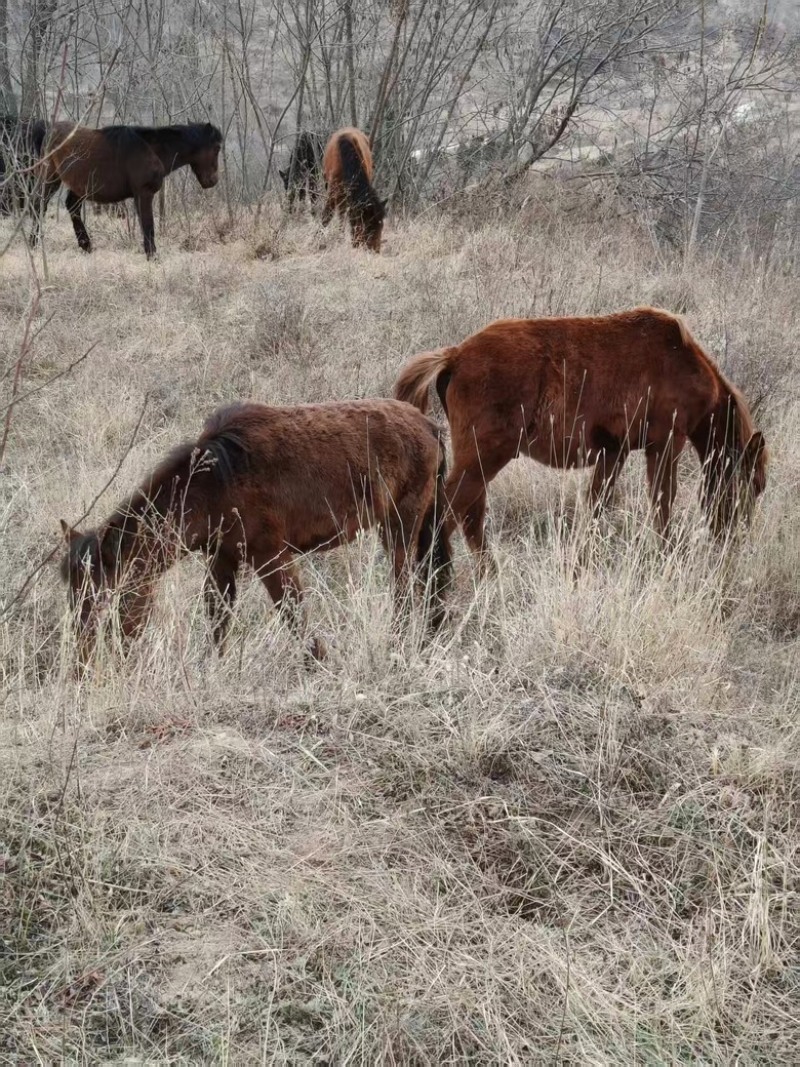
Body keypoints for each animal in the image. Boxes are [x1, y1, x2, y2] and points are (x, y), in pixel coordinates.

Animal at [30, 121, 223, 257]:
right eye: (217, 148)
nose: (212, 181)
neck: (151, 150)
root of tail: (51, 130)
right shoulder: (144, 194)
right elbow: (148, 225)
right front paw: (152, 256)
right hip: (50, 179)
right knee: (39, 205)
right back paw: (33, 243)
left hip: (80, 187)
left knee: (73, 207)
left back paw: (86, 245)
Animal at [60, 399, 452, 665]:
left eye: (108, 595)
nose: (82, 660)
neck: (216, 483)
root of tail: (429, 426)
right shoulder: (221, 560)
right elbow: (218, 617)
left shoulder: (270, 556)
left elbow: (292, 612)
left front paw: (318, 663)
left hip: (400, 526)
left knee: (405, 585)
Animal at [395, 308, 767, 571]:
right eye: (755, 483)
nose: (737, 541)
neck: (682, 359)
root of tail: (455, 356)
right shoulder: (665, 445)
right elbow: (662, 503)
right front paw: (664, 554)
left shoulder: (614, 453)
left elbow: (598, 506)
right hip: (482, 460)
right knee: (447, 515)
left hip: (480, 463)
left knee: (470, 517)